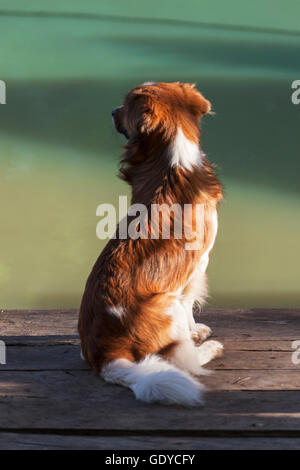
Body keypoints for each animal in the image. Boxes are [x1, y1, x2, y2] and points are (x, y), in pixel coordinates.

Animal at [78, 81, 224, 404]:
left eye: (124, 105)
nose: (112, 111)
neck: (172, 162)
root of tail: (106, 356)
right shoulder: (198, 266)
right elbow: (190, 303)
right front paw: (195, 331)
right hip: (165, 304)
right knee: (184, 361)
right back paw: (207, 348)